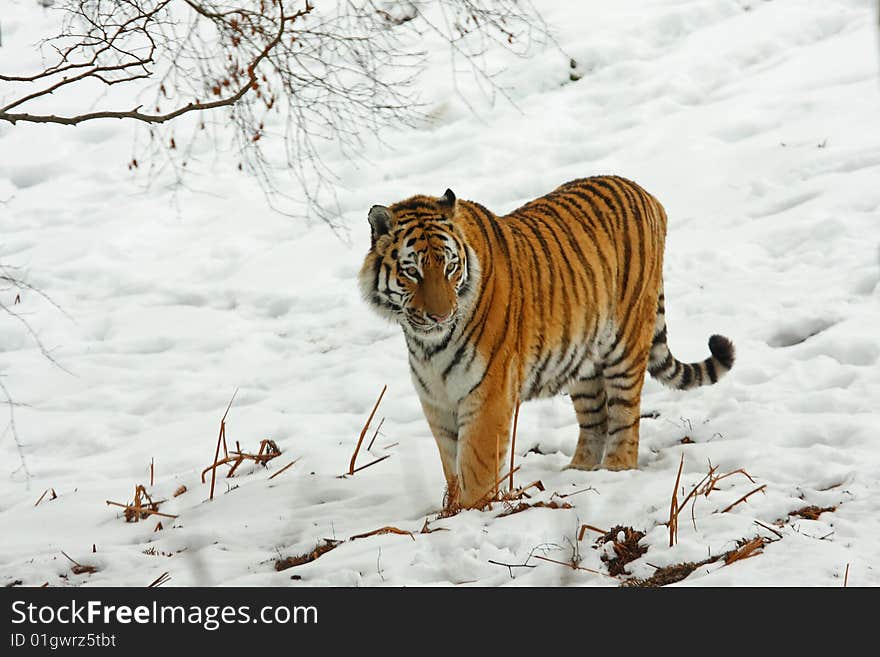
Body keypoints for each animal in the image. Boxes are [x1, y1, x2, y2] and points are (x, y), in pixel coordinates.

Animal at [358, 177, 736, 510]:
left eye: (450, 267)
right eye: (412, 272)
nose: (440, 316)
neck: (428, 345)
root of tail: (646, 193)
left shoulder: (488, 395)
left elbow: (476, 468)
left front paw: (471, 512)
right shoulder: (437, 400)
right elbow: (452, 465)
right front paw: (449, 512)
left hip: (625, 347)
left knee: (625, 416)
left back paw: (616, 469)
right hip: (584, 360)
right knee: (595, 420)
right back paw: (579, 473)